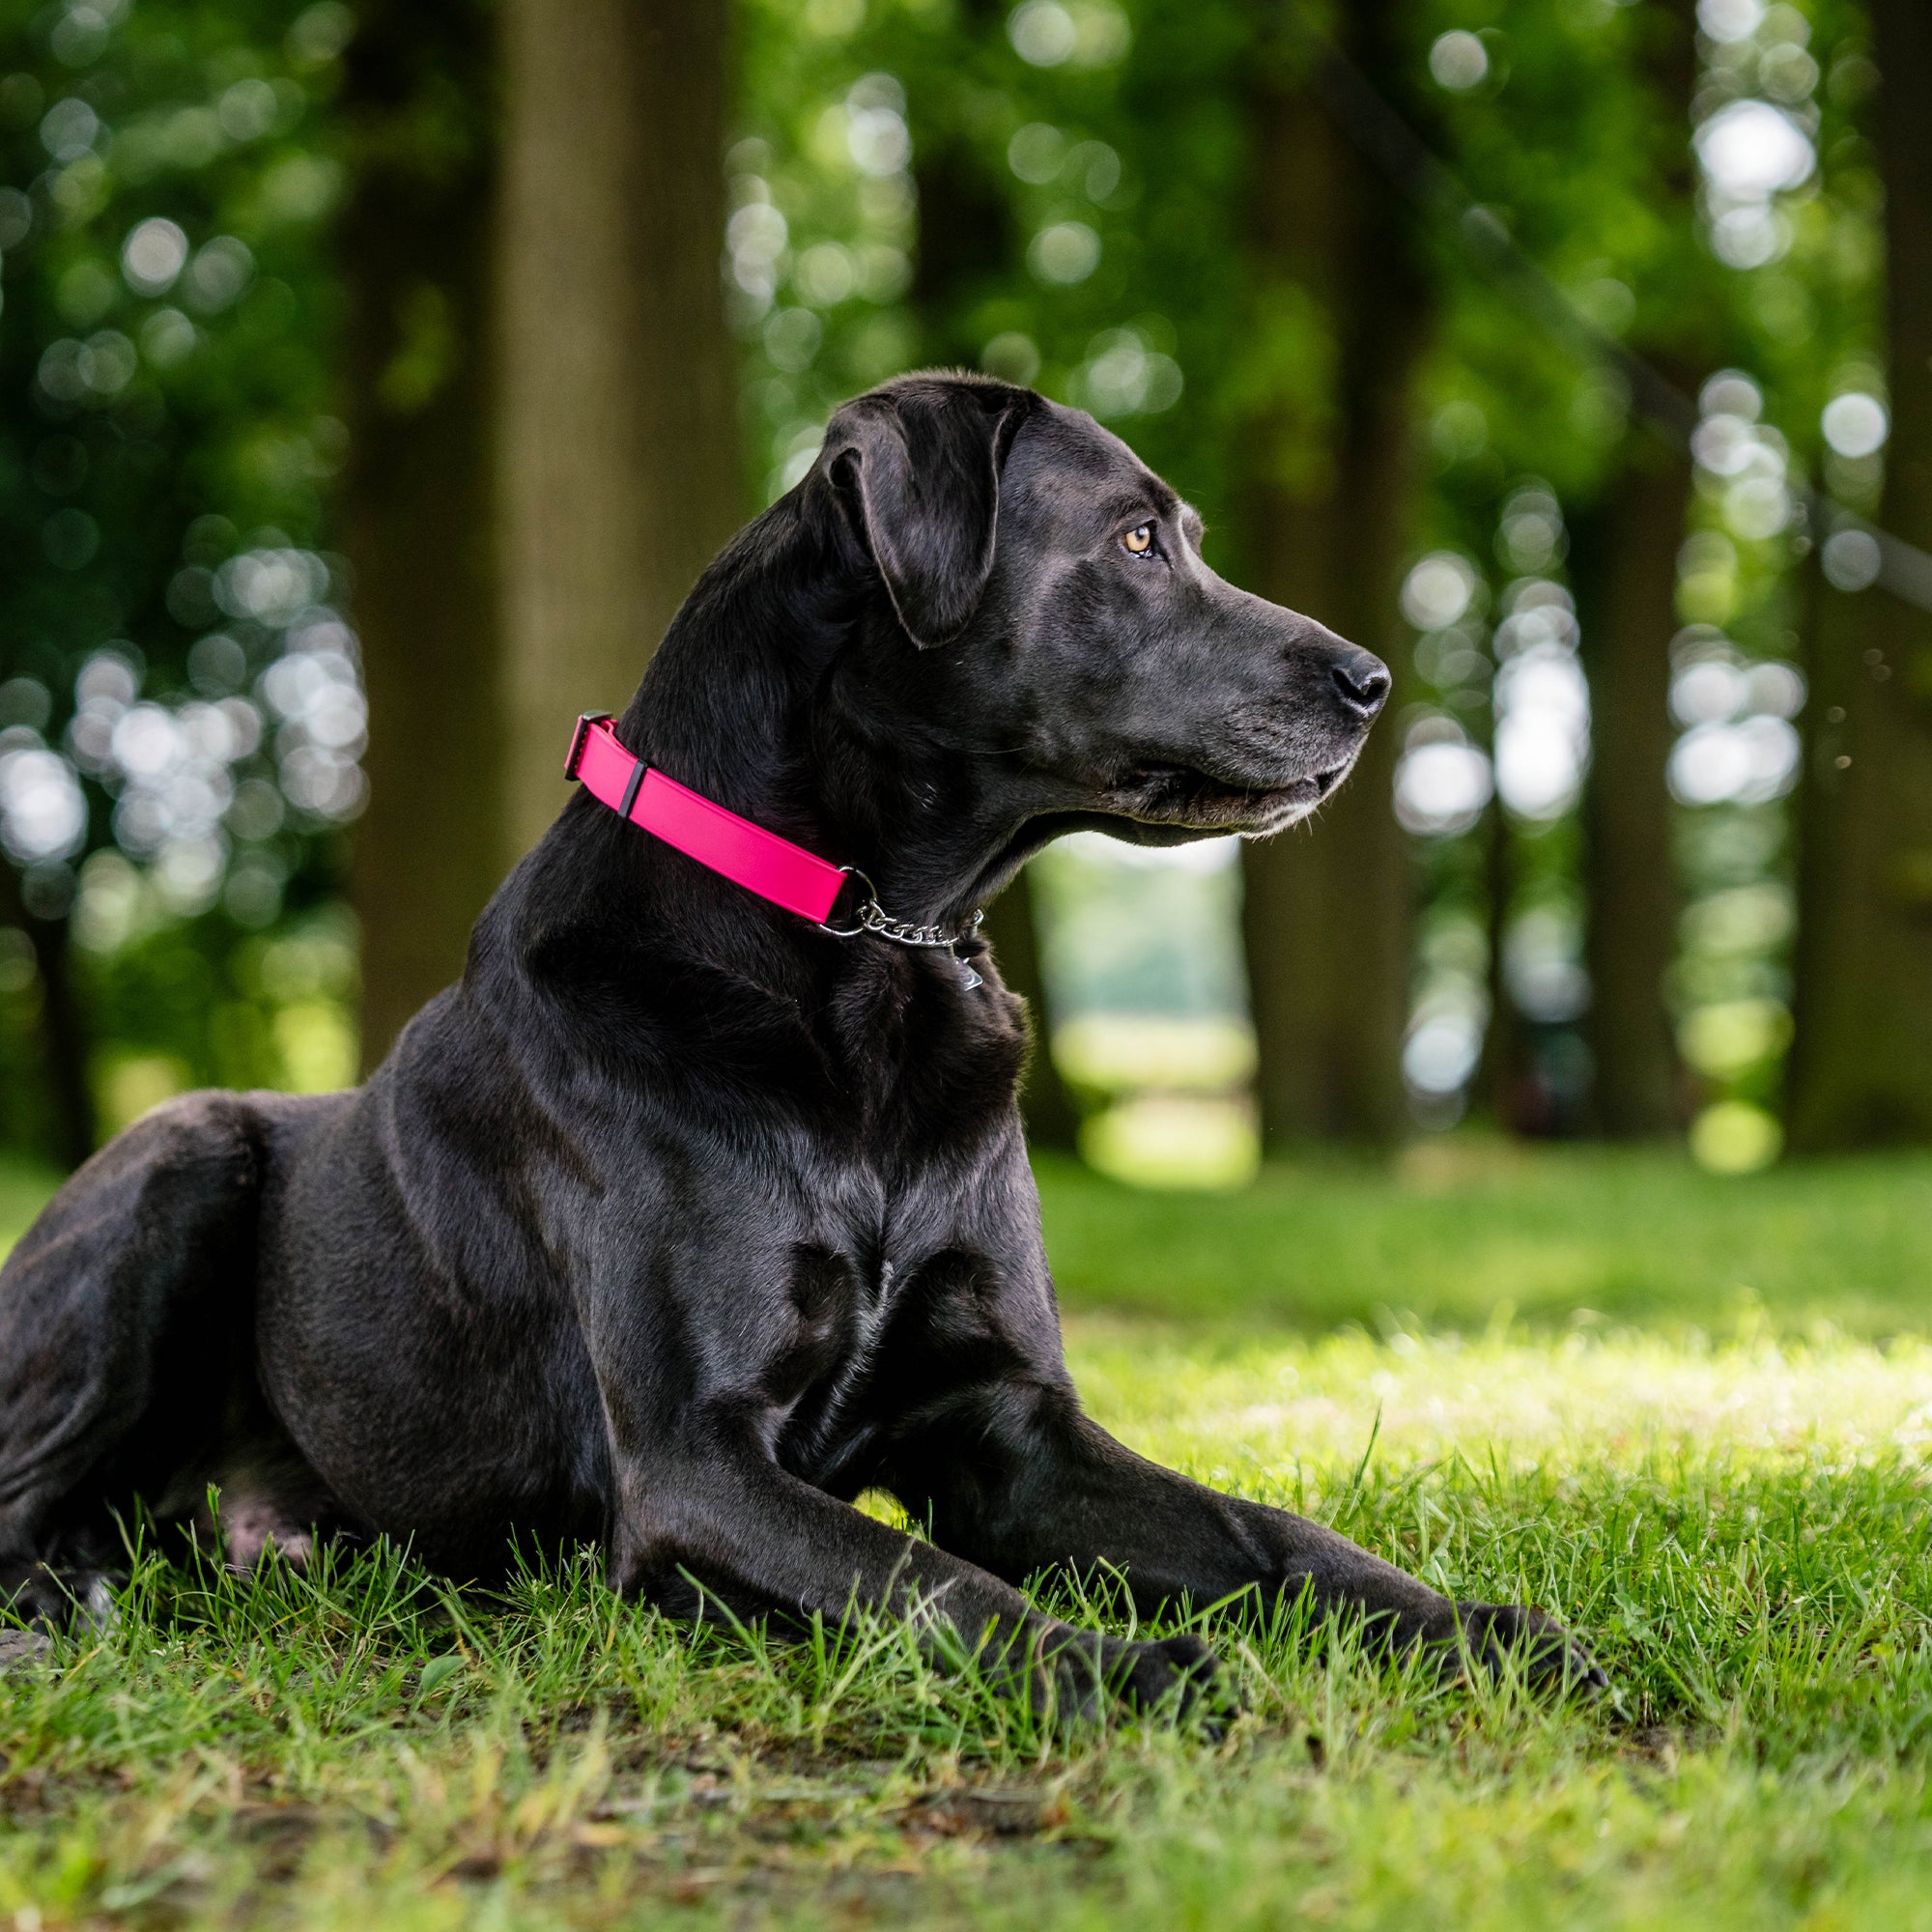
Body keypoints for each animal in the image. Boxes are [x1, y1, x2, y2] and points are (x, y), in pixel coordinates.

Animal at [0, 373, 1600, 1708]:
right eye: (1140, 540)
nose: (1373, 681)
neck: (873, 937)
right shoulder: (694, 1466)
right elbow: (927, 1585)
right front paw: (1122, 1667)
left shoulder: (1008, 1429)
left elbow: (1270, 1532)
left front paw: (1487, 1631)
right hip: (175, 1157)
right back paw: (65, 1603)